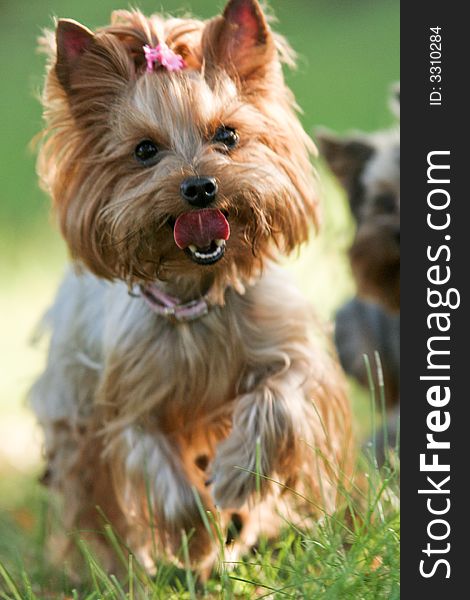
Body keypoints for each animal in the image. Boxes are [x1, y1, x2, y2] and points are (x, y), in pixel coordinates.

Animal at [31, 0, 352, 580]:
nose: (200, 186)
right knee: (88, 492)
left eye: (226, 135)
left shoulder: (292, 353)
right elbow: (162, 477)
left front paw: (237, 476)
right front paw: (198, 539)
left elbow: (282, 397)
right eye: (144, 150)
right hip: (73, 409)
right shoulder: (128, 405)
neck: (197, 296)